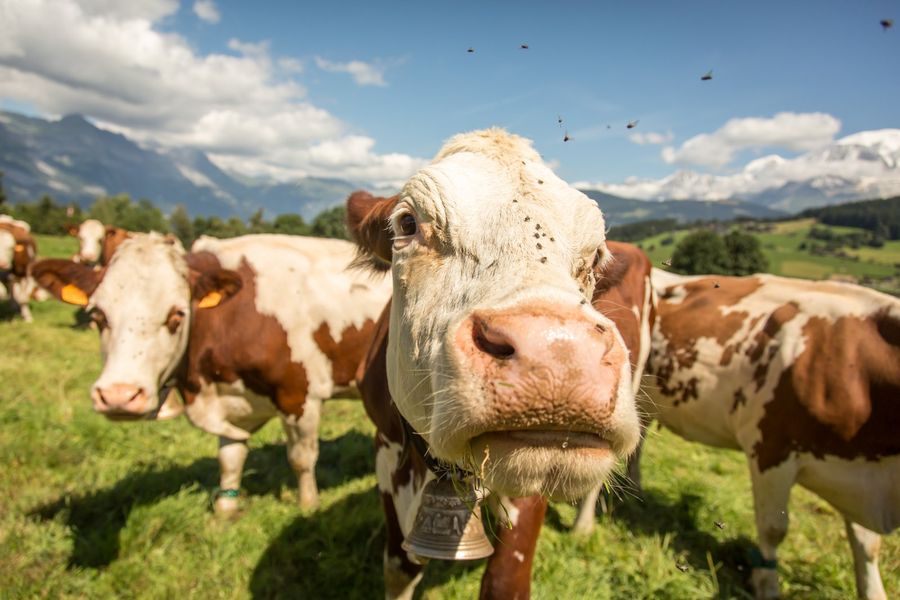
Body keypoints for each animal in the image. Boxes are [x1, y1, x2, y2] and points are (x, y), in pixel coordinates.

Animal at [33, 232, 391, 516]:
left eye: (176, 315)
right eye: (98, 316)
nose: (119, 396)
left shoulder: (298, 395)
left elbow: (301, 459)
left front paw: (308, 506)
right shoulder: (231, 398)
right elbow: (230, 458)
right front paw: (225, 510)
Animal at [347, 128, 643, 599]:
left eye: (596, 256)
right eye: (408, 223)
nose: (559, 353)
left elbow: (506, 578)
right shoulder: (387, 451)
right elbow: (399, 566)